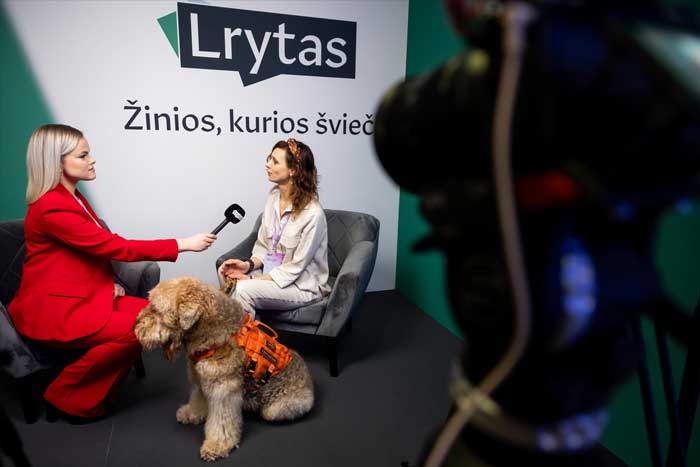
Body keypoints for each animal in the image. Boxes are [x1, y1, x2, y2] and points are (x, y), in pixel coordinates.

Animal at [134, 276, 314, 461]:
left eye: (157, 309)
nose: (136, 325)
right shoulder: (203, 381)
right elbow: (198, 400)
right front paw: (191, 414)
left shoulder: (223, 389)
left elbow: (221, 423)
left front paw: (216, 446)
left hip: (275, 409)